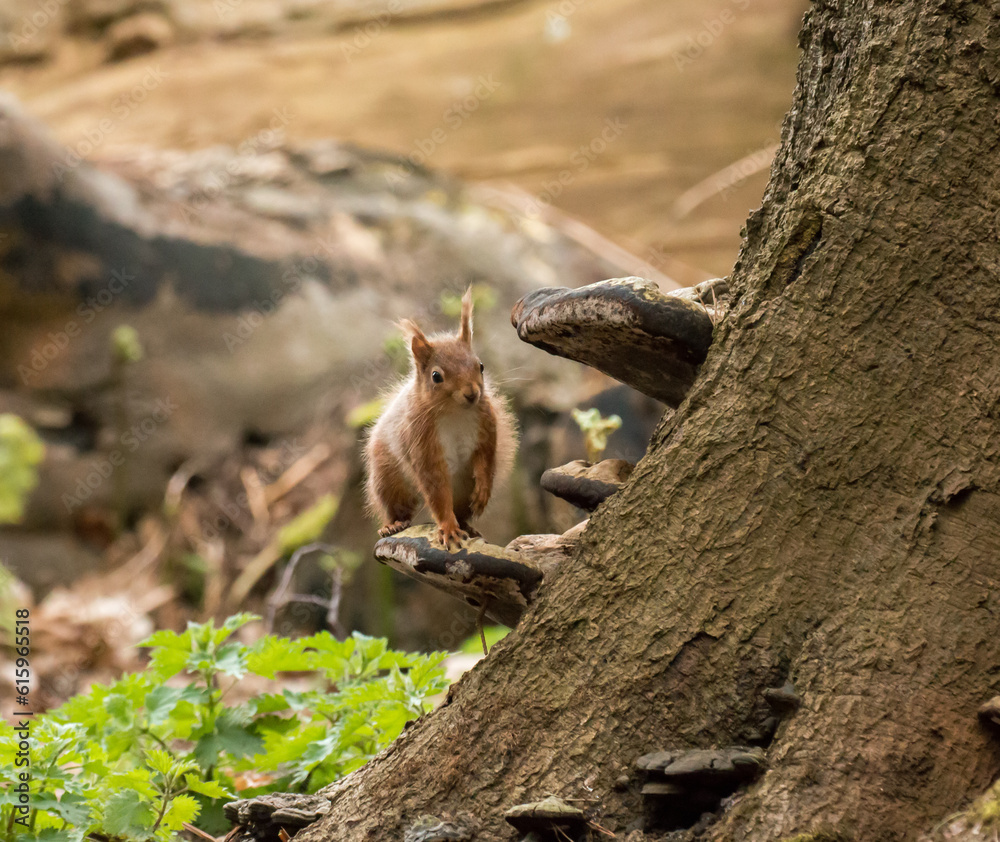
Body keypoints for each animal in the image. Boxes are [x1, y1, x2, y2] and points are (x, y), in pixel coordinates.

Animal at [364, 288, 517, 550]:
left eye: (481, 365)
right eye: (436, 376)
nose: (472, 393)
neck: (454, 412)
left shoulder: (486, 424)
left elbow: (485, 459)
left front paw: (483, 493)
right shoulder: (420, 441)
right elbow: (436, 490)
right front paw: (448, 530)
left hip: (463, 489)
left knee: (462, 511)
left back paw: (468, 526)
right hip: (387, 480)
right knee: (398, 507)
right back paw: (394, 524)